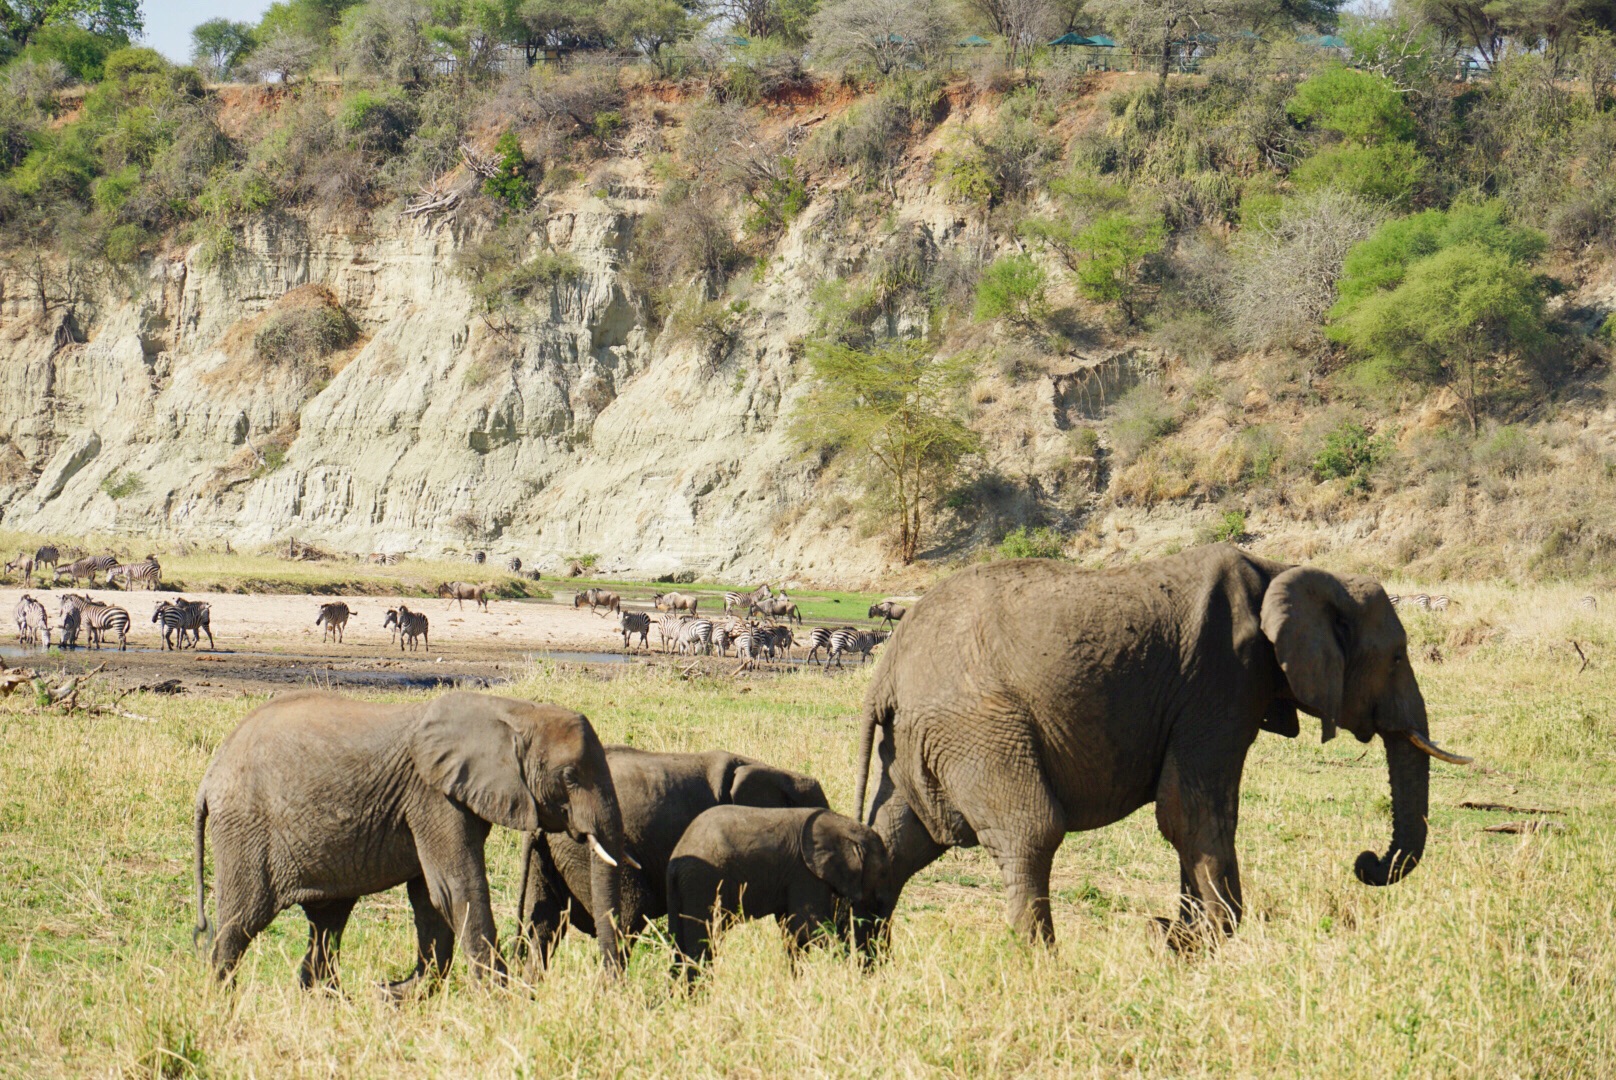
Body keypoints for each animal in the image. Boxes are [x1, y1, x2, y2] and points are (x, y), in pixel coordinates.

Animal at [193, 691, 630, 989]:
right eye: (570, 776)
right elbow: (457, 888)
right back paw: (221, 1001)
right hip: (246, 832)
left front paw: (397, 995)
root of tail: (211, 774)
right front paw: (500, 999)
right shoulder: (432, 795)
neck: (512, 712)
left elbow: (431, 899)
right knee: (240, 923)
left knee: (326, 924)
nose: (610, 988)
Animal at [665, 808, 898, 976]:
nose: (882, 967)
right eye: (884, 873)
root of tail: (676, 860)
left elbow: (792, 932)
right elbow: (807, 926)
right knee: (702, 945)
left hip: (683, 889)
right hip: (703, 882)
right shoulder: (805, 874)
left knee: (680, 946)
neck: (843, 825)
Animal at [853, 549, 1473, 944]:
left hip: (922, 741)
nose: (1366, 864)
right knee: (1031, 833)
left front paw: (1185, 937)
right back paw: (1044, 968)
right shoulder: (1220, 680)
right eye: (1398, 656)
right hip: (976, 726)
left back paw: (860, 962)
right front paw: (1207, 940)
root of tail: (887, 667)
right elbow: (1191, 812)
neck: (1286, 569)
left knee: (896, 841)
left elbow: (1194, 813)